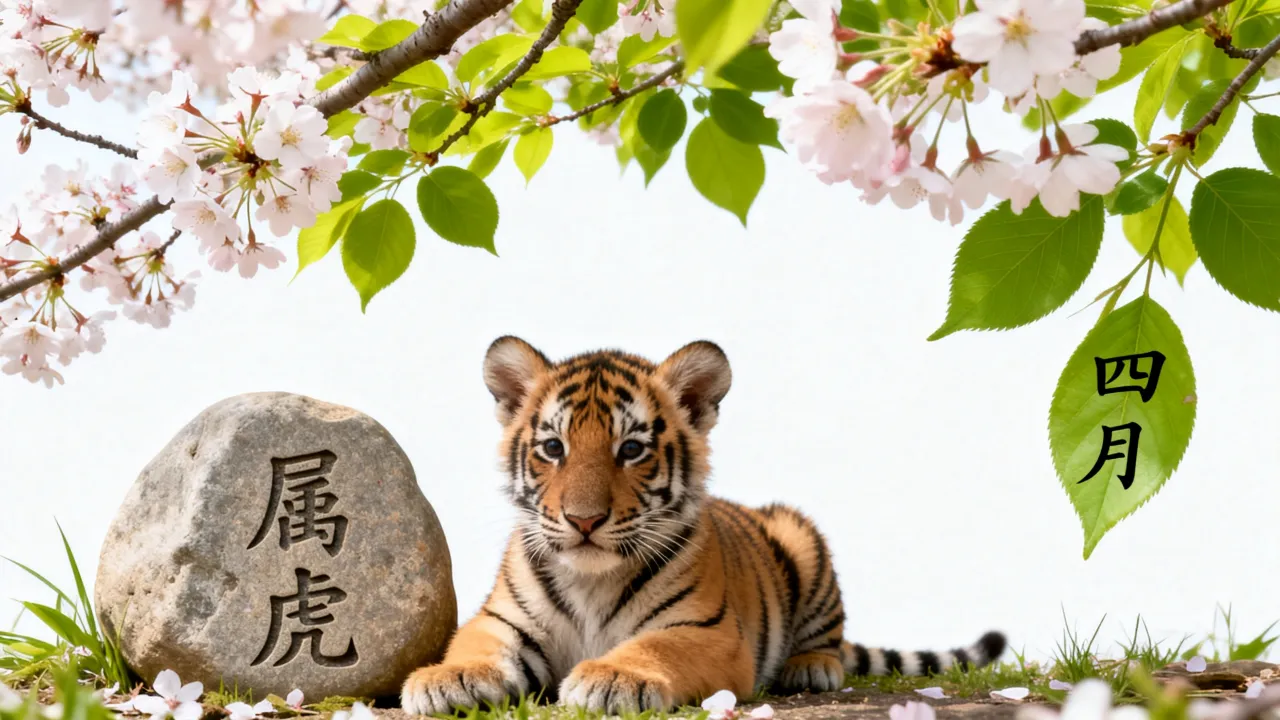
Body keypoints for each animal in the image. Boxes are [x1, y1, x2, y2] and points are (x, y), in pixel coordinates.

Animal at [401, 336, 1007, 716]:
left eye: (632, 449)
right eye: (553, 448)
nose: (584, 519)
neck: (592, 579)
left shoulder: (708, 631)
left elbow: (655, 649)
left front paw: (614, 677)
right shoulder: (502, 619)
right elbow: (473, 645)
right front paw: (447, 679)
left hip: (801, 535)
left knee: (828, 640)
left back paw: (811, 668)